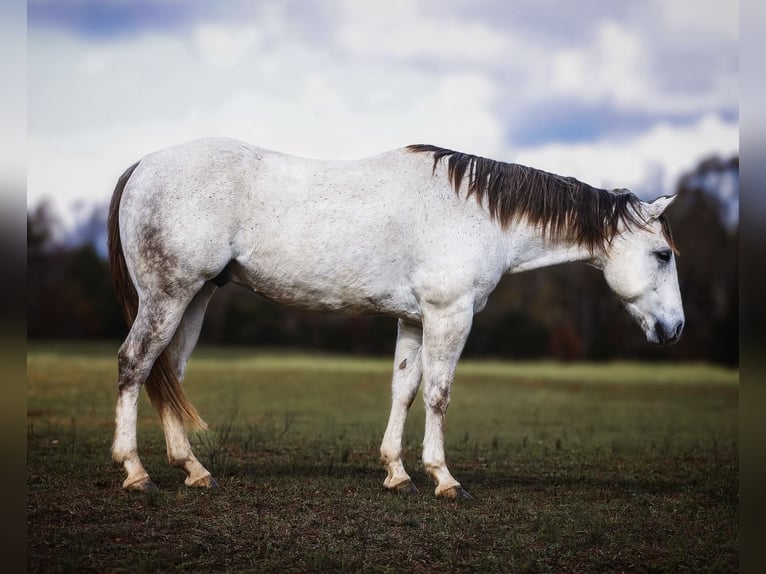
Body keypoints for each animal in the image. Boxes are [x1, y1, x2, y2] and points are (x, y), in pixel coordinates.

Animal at [106, 138, 684, 500]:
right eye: (663, 255)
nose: (674, 329)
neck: (475, 213)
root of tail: (144, 164)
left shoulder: (414, 320)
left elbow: (404, 391)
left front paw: (396, 473)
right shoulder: (449, 316)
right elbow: (438, 395)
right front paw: (444, 478)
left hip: (194, 298)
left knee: (169, 374)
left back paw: (193, 470)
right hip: (167, 296)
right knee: (135, 364)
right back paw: (136, 472)